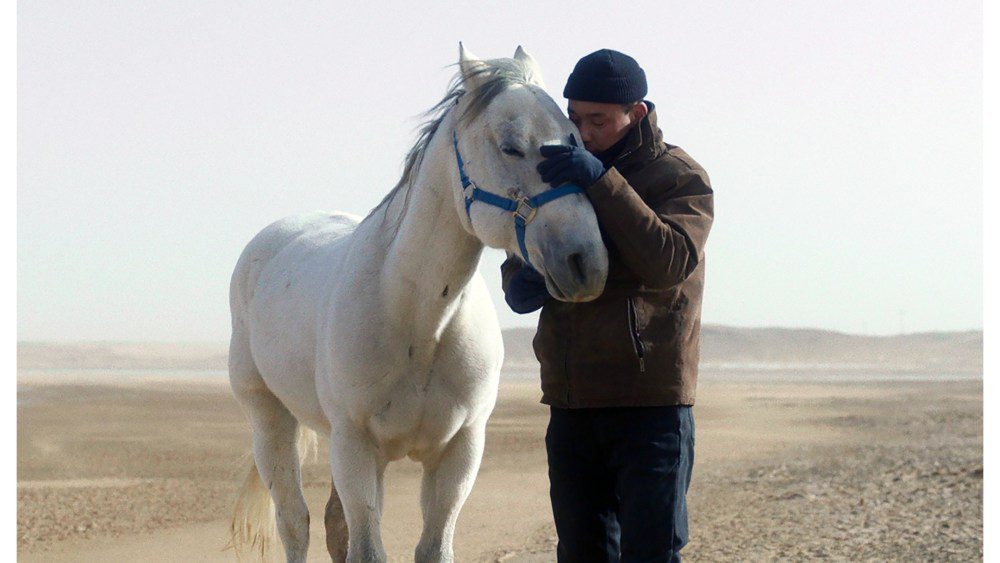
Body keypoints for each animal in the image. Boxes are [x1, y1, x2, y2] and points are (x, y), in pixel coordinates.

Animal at [228, 45, 608, 563]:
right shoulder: (355, 447)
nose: (585, 260)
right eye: (511, 146)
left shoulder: (459, 453)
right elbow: (366, 549)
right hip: (270, 419)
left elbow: (430, 547)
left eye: (576, 141)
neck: (417, 319)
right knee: (295, 522)